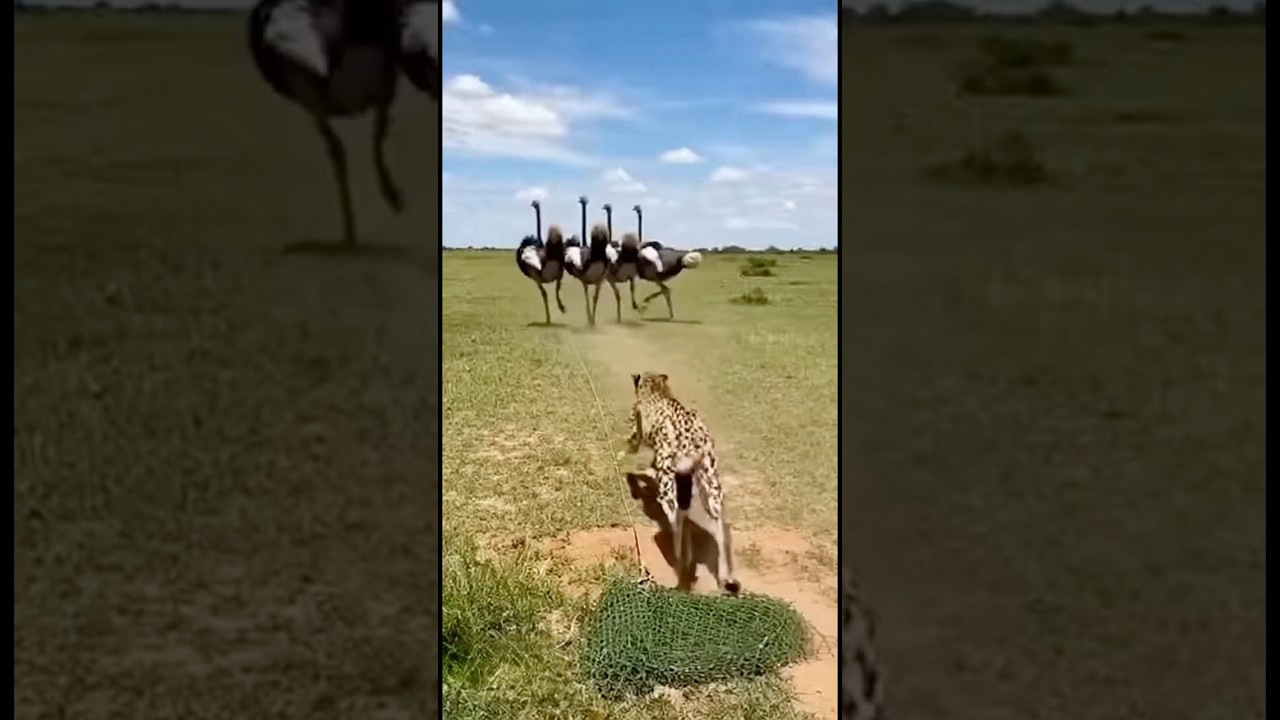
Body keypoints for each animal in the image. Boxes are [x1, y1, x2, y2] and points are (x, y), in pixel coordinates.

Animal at [624, 371, 740, 594]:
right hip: (710, 486)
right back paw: (724, 576)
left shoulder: (640, 435)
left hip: (669, 488)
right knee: (719, 528)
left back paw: (682, 568)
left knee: (678, 523)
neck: (657, 388)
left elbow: (631, 460)